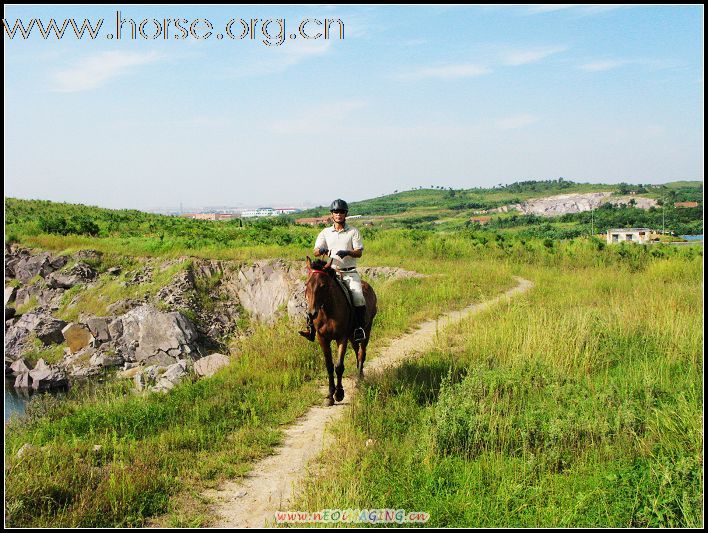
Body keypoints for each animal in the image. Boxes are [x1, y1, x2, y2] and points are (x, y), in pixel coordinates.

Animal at [304, 256, 376, 406]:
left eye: (323, 285)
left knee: (362, 353)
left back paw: (359, 380)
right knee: (357, 352)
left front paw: (339, 394)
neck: (328, 312)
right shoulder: (322, 338)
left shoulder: (341, 338)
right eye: (307, 284)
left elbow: (339, 366)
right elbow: (329, 366)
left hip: (366, 330)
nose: (312, 313)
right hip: (353, 337)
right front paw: (329, 396)